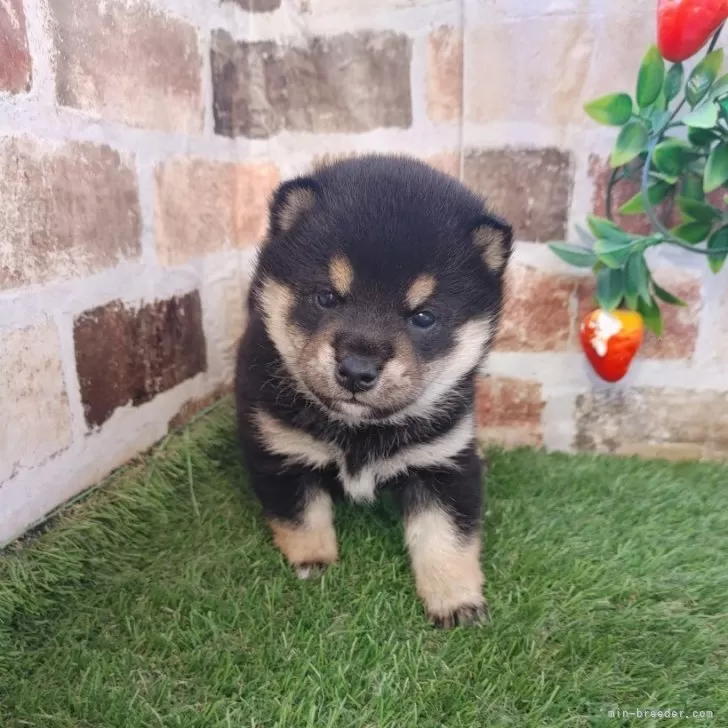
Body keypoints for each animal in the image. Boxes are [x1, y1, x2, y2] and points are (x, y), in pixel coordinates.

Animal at [235, 152, 512, 624]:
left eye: (423, 317)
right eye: (327, 297)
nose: (356, 369)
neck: (360, 431)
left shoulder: (442, 463)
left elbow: (446, 536)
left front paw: (456, 599)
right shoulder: (282, 451)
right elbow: (301, 516)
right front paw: (313, 561)